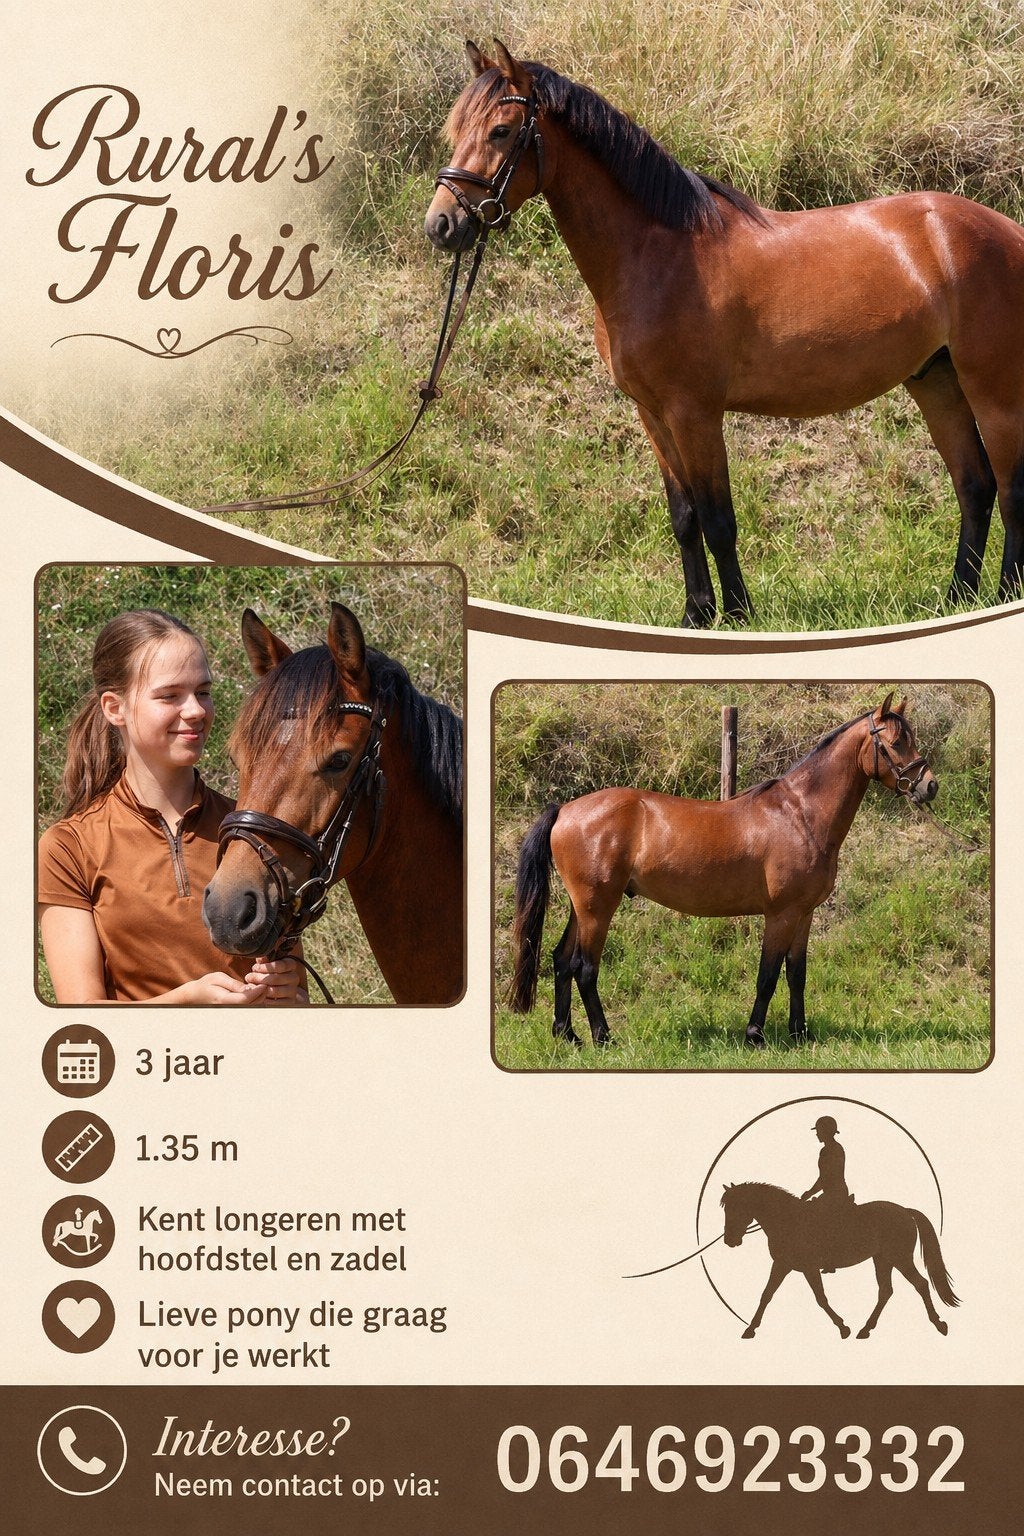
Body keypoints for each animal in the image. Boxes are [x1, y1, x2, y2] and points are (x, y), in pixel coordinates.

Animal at [425, 41, 1024, 627]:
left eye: (501, 131)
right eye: (457, 131)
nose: (441, 225)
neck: (659, 256)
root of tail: (1007, 231)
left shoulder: (695, 412)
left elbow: (718, 518)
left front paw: (736, 615)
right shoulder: (653, 414)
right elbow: (684, 516)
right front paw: (696, 615)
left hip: (993, 391)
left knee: (1010, 488)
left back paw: (1001, 597)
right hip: (936, 380)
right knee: (974, 485)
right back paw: (955, 599)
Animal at [507, 694, 936, 1047]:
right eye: (896, 742)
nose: (929, 786)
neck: (801, 814)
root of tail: (564, 809)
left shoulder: (804, 913)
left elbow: (796, 974)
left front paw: (800, 1034)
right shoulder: (781, 914)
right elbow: (768, 974)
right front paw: (755, 1035)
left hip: (583, 907)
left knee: (562, 961)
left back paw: (568, 1035)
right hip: (598, 907)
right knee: (584, 968)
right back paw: (602, 1037)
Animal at [721, 1181, 958, 1340]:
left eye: (736, 1207)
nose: (729, 1240)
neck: (788, 1220)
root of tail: (905, 1211)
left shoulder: (809, 1268)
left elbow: (821, 1298)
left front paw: (843, 1327)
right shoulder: (782, 1265)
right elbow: (766, 1295)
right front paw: (750, 1329)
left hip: (900, 1259)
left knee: (920, 1284)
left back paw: (939, 1324)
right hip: (882, 1260)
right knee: (885, 1291)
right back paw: (865, 1329)